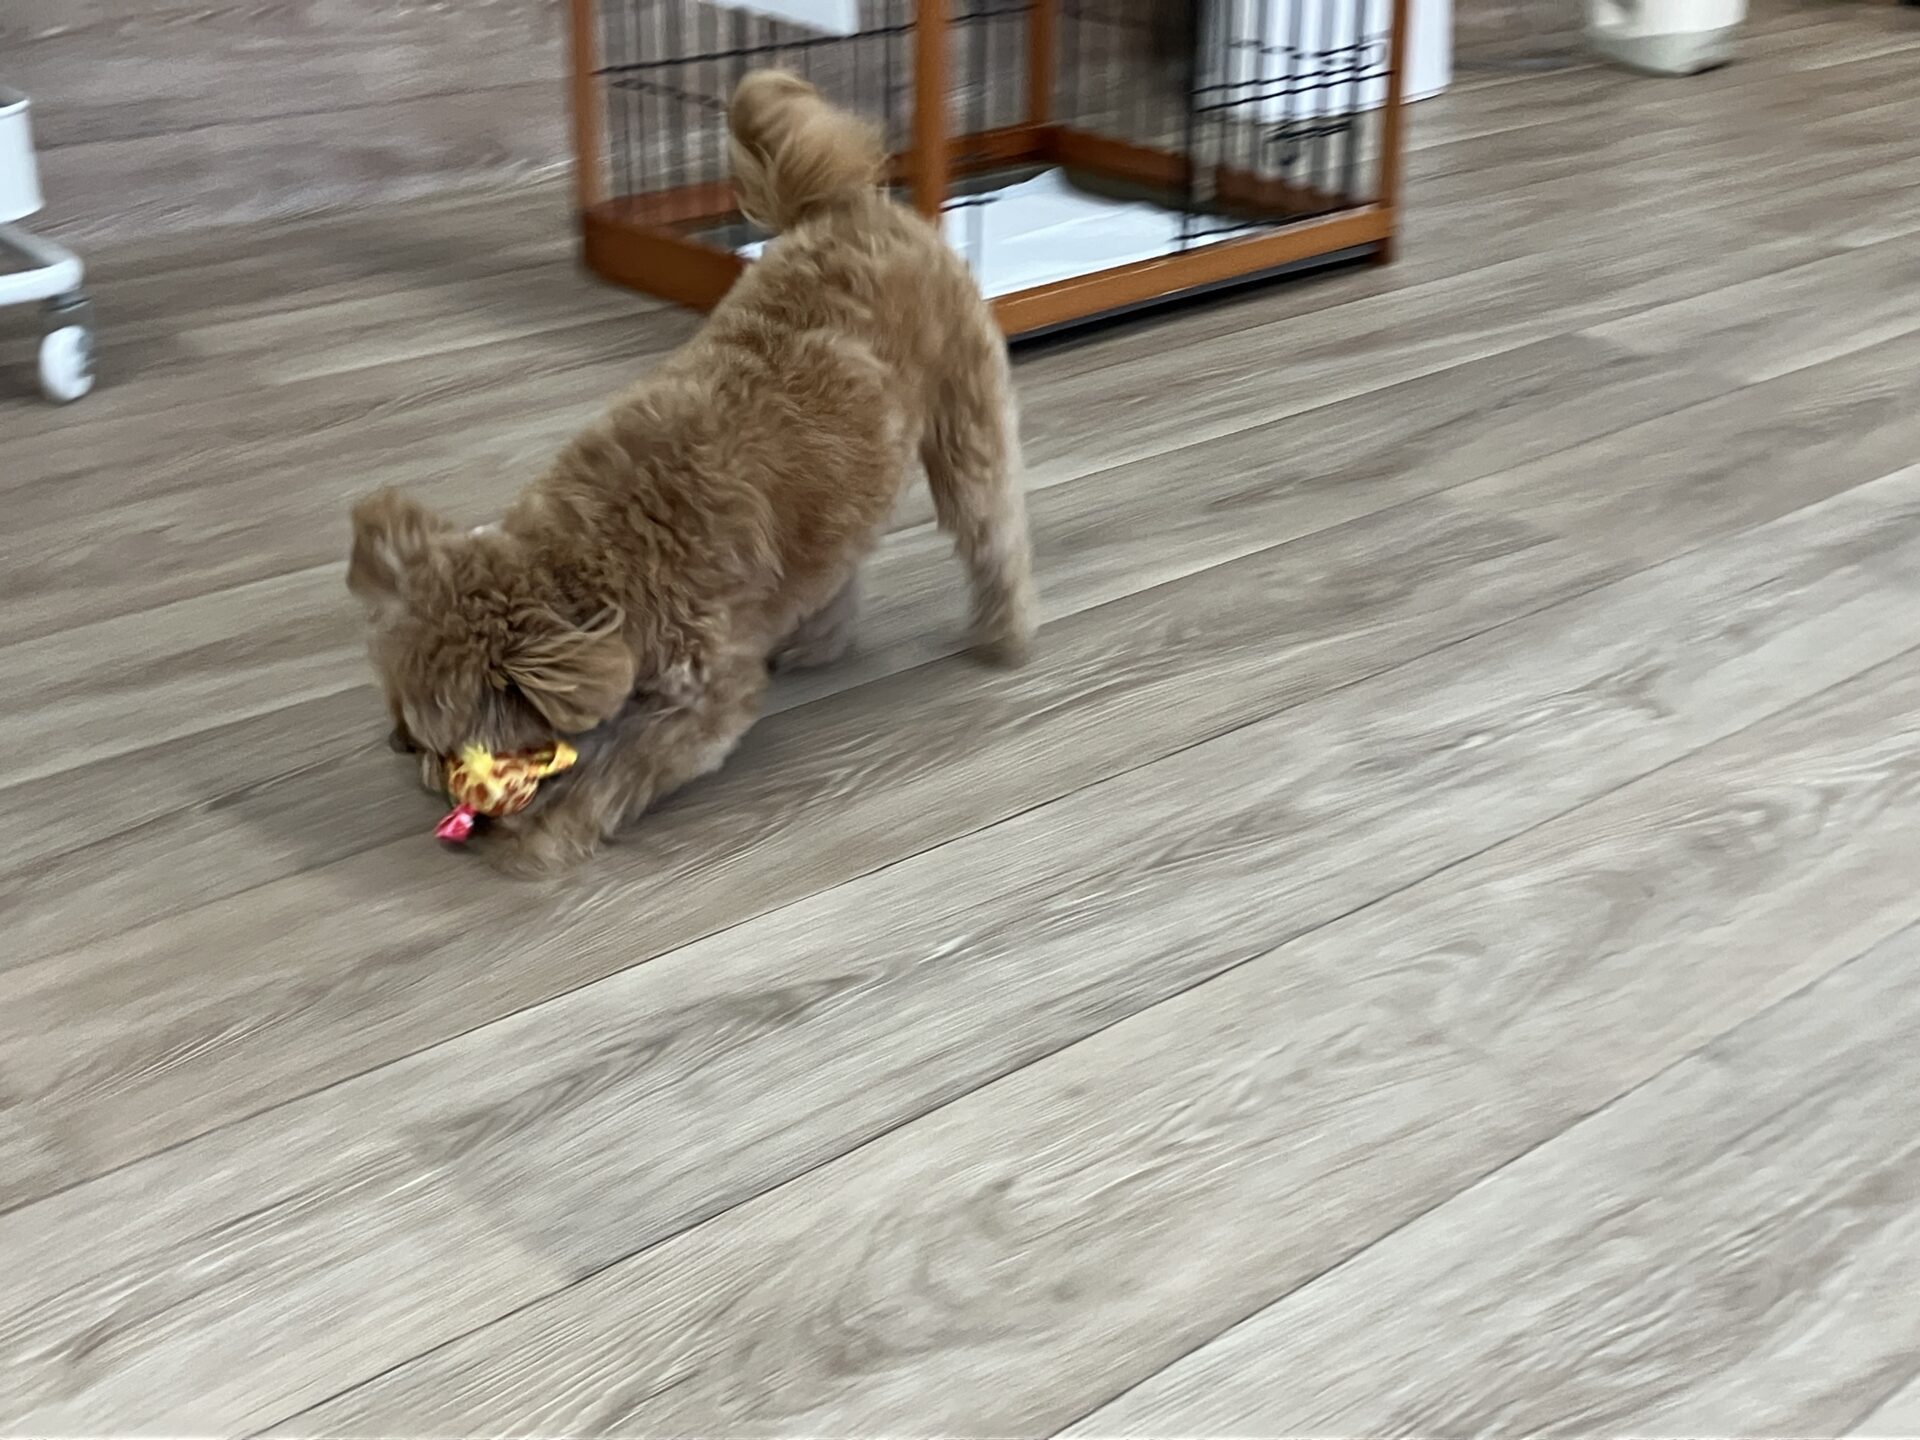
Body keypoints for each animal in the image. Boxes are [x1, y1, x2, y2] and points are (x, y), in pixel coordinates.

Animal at [347, 70, 1035, 873]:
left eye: (436, 730)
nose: (397, 743)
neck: (590, 564)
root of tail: (847, 204)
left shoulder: (706, 698)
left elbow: (621, 768)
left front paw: (548, 832)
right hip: (848, 491)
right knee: (840, 562)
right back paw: (821, 642)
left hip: (967, 421)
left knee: (993, 536)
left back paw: (1006, 636)